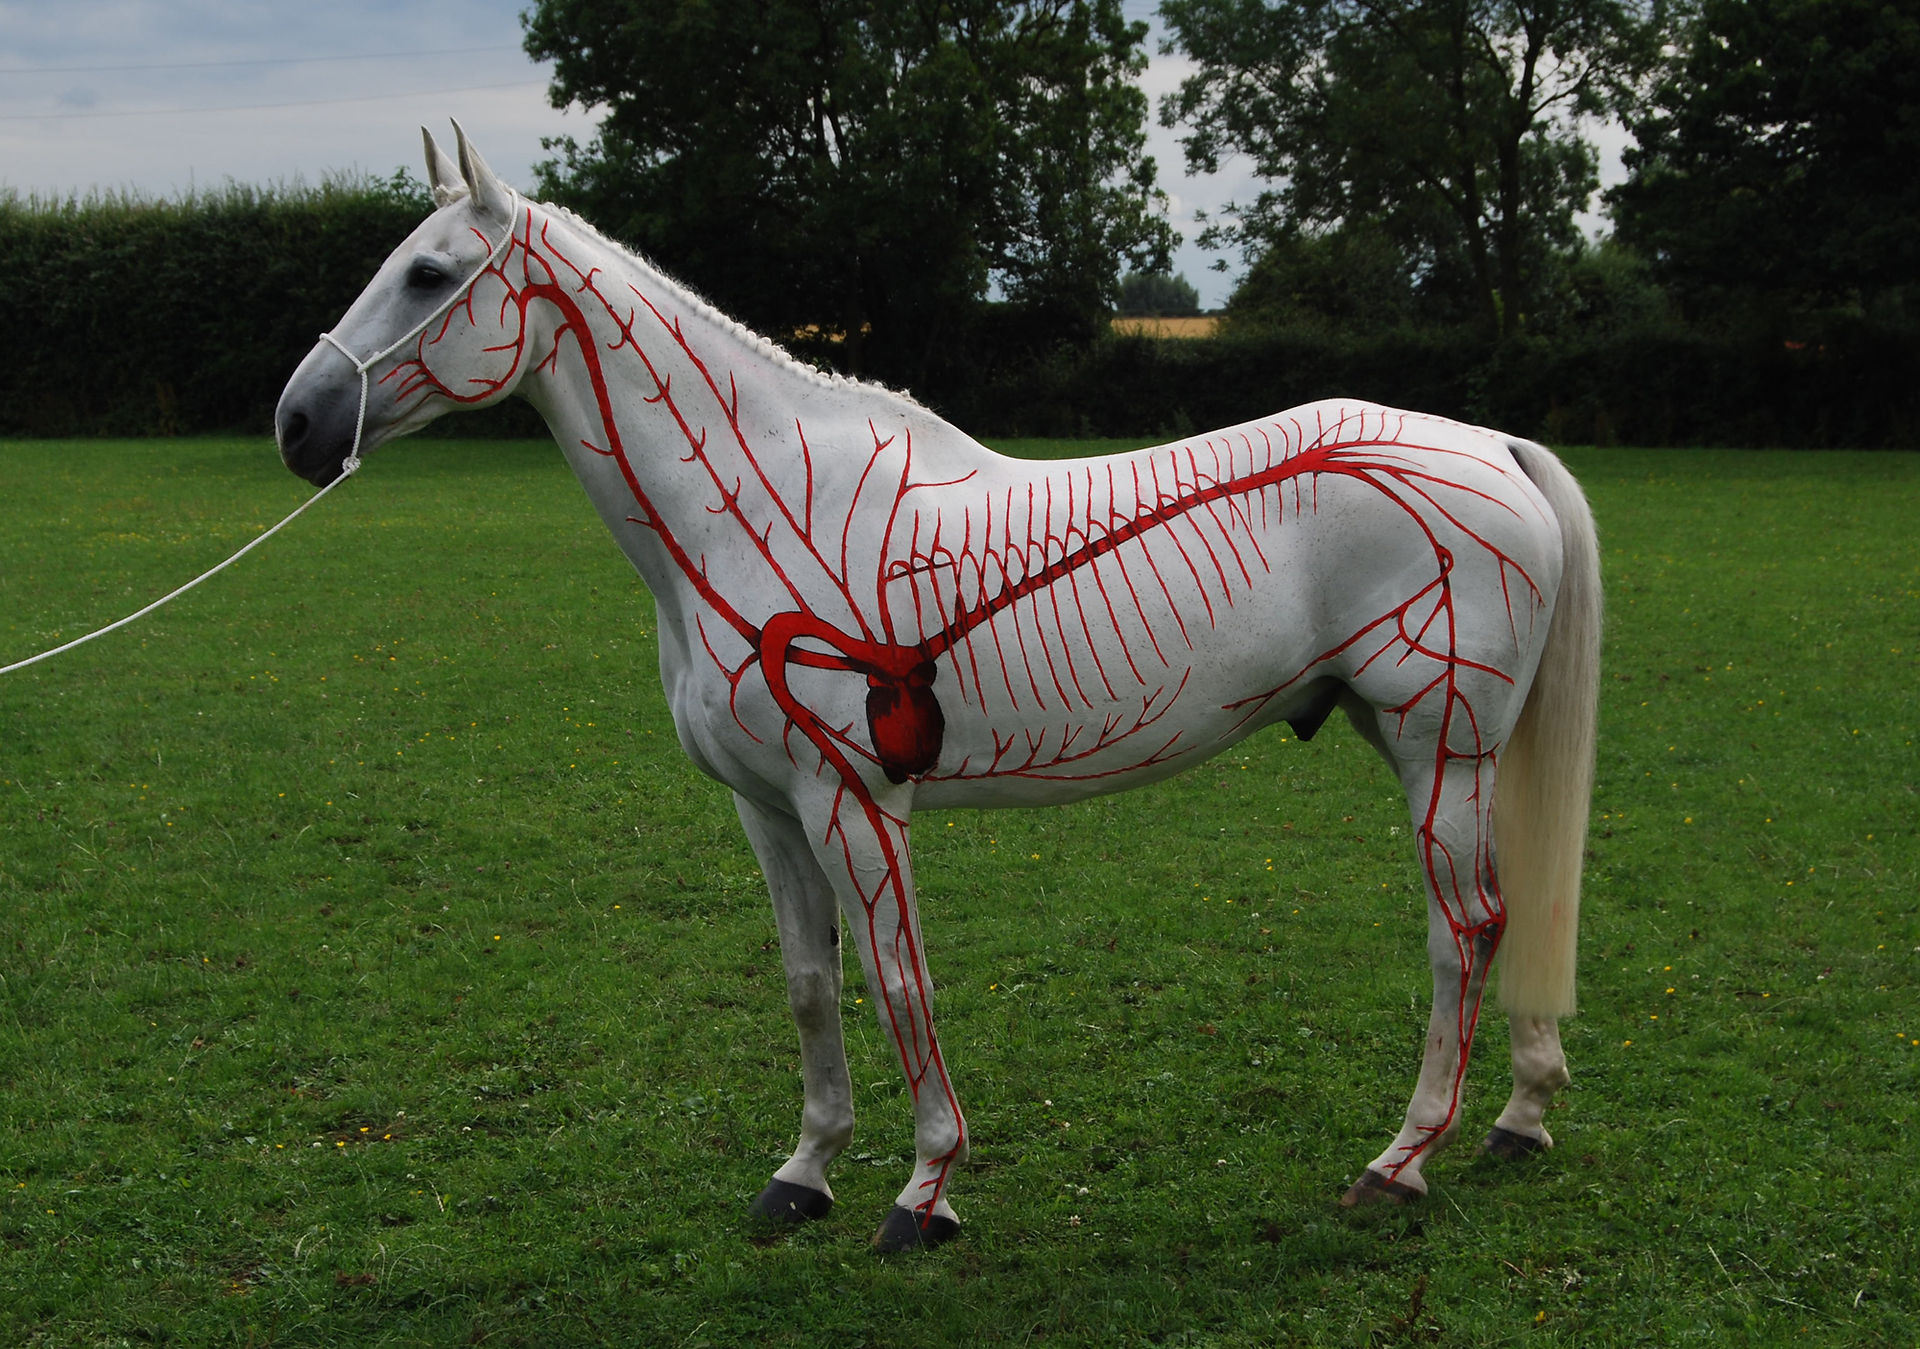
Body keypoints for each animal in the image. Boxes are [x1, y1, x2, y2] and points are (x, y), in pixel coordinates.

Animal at [275, 124, 1601, 1253]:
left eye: (430, 275)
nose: (298, 423)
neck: (761, 510)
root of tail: (1490, 445)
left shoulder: (853, 798)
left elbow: (896, 976)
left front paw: (923, 1190)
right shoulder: (767, 806)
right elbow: (811, 985)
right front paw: (803, 1172)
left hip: (1441, 744)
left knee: (1465, 928)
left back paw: (1400, 1161)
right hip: (1424, 741)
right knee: (1508, 913)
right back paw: (1521, 1115)